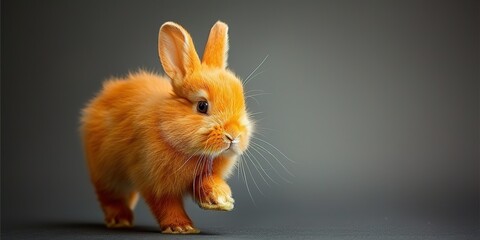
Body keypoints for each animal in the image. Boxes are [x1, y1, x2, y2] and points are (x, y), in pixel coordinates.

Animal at [80, 21, 253, 233]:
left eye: (242, 103)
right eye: (202, 106)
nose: (233, 135)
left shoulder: (202, 174)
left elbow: (206, 182)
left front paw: (220, 196)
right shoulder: (152, 179)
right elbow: (166, 204)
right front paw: (181, 227)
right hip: (105, 173)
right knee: (110, 197)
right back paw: (120, 220)